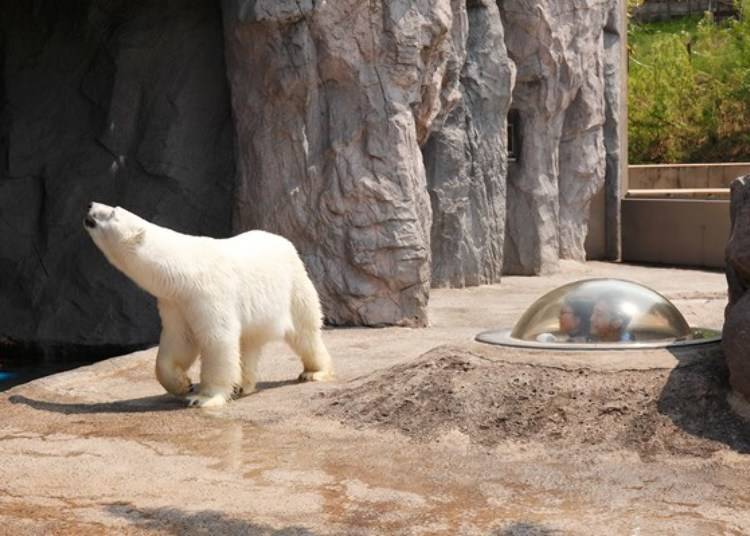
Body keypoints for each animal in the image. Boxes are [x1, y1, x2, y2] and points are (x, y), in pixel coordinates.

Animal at [81, 203, 334, 408]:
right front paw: (182, 384)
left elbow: (217, 339)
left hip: (293, 286)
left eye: (113, 212)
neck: (183, 270)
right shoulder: (176, 302)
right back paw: (242, 386)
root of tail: (284, 241)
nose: (90, 205)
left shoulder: (208, 294)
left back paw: (313, 372)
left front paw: (203, 398)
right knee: (249, 342)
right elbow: (178, 341)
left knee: (305, 332)